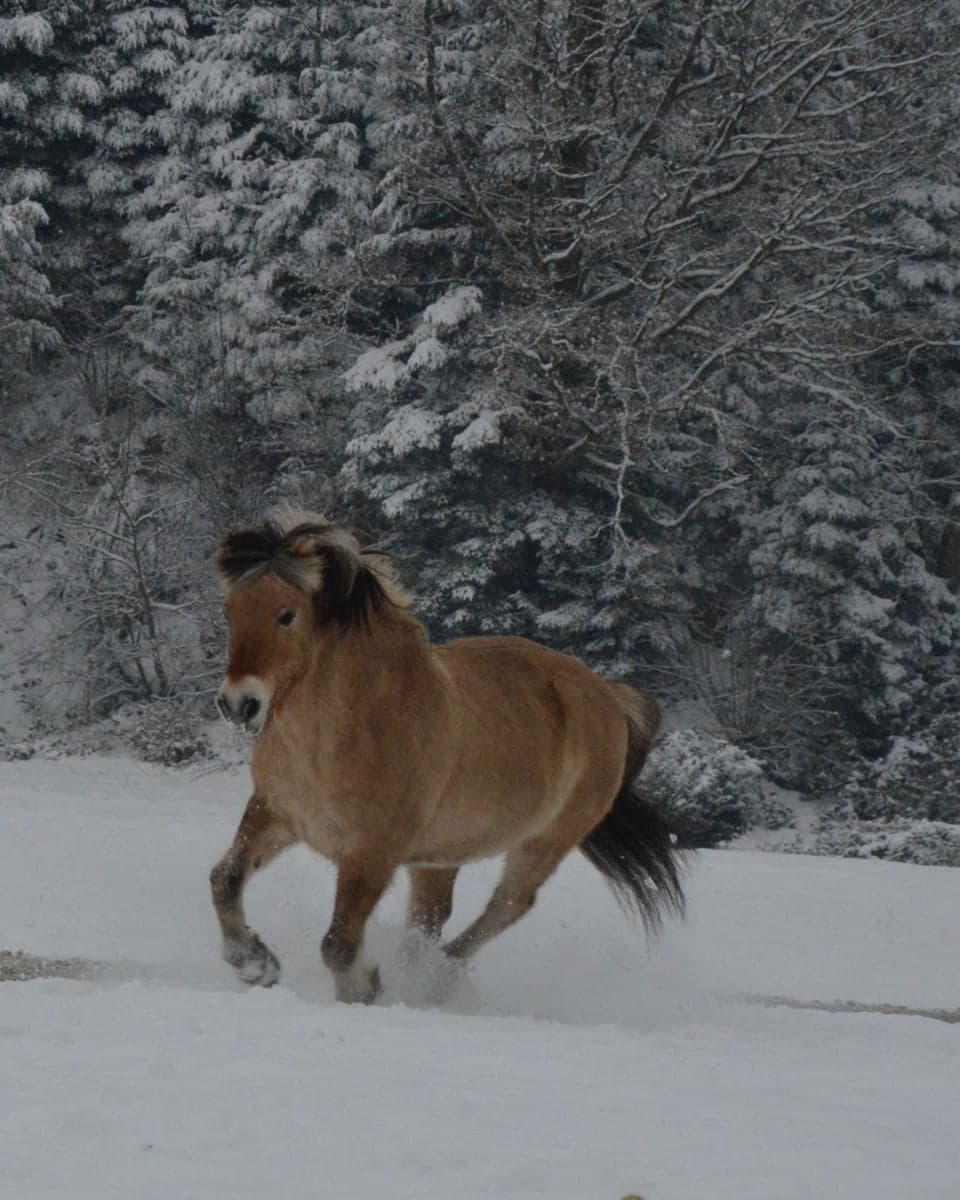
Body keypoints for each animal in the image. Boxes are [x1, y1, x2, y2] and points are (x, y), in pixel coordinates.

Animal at [211, 509, 684, 1003]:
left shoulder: (372, 853)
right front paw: (255, 962)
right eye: (230, 611)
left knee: (508, 905)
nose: (238, 704)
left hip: (544, 842)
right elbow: (225, 879)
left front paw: (364, 989)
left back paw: (438, 976)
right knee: (432, 918)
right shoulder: (276, 813)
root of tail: (608, 696)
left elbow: (339, 943)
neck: (332, 740)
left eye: (286, 615)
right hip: (438, 857)